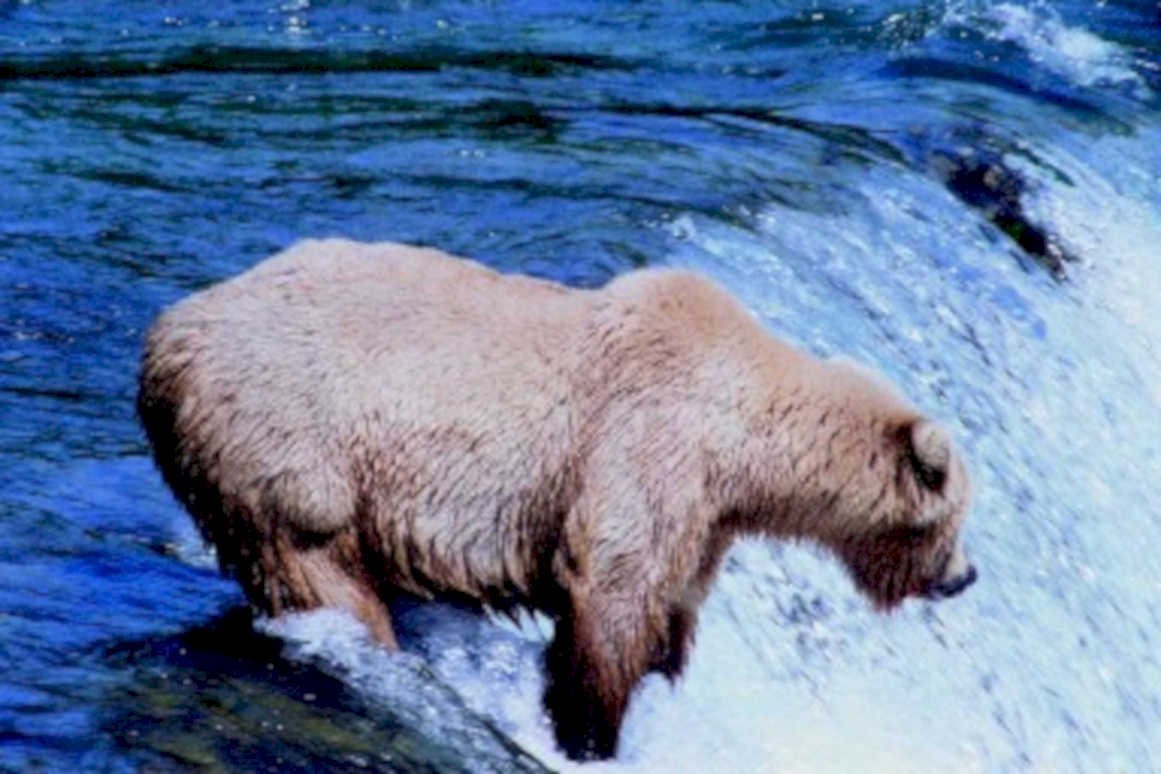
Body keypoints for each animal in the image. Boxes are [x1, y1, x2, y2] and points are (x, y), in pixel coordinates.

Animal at [138, 238, 976, 761]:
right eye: (954, 516)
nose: (963, 577)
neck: (741, 439)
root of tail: (164, 333)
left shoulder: (703, 515)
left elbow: (669, 603)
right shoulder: (646, 445)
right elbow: (609, 594)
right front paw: (589, 733)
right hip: (290, 445)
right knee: (317, 568)